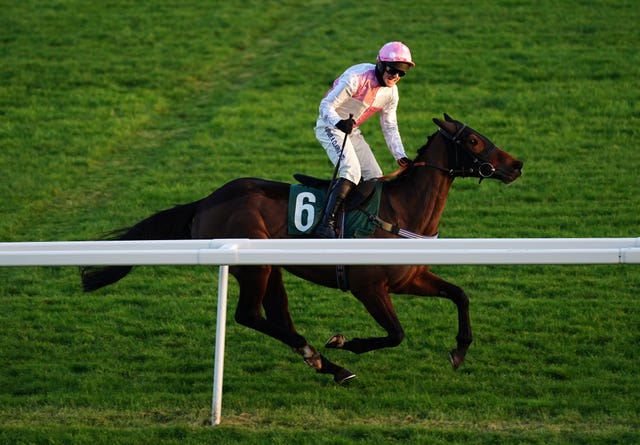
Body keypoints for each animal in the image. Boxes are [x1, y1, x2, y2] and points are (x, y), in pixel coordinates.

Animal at [81, 113, 520, 382]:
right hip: (254, 267)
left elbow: (459, 295)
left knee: (276, 316)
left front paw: (459, 351)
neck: (400, 211)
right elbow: (395, 333)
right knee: (249, 316)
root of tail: (206, 201)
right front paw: (345, 342)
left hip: (270, 267)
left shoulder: (411, 278)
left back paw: (324, 363)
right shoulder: (369, 288)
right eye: (475, 140)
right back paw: (326, 359)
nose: (516, 165)